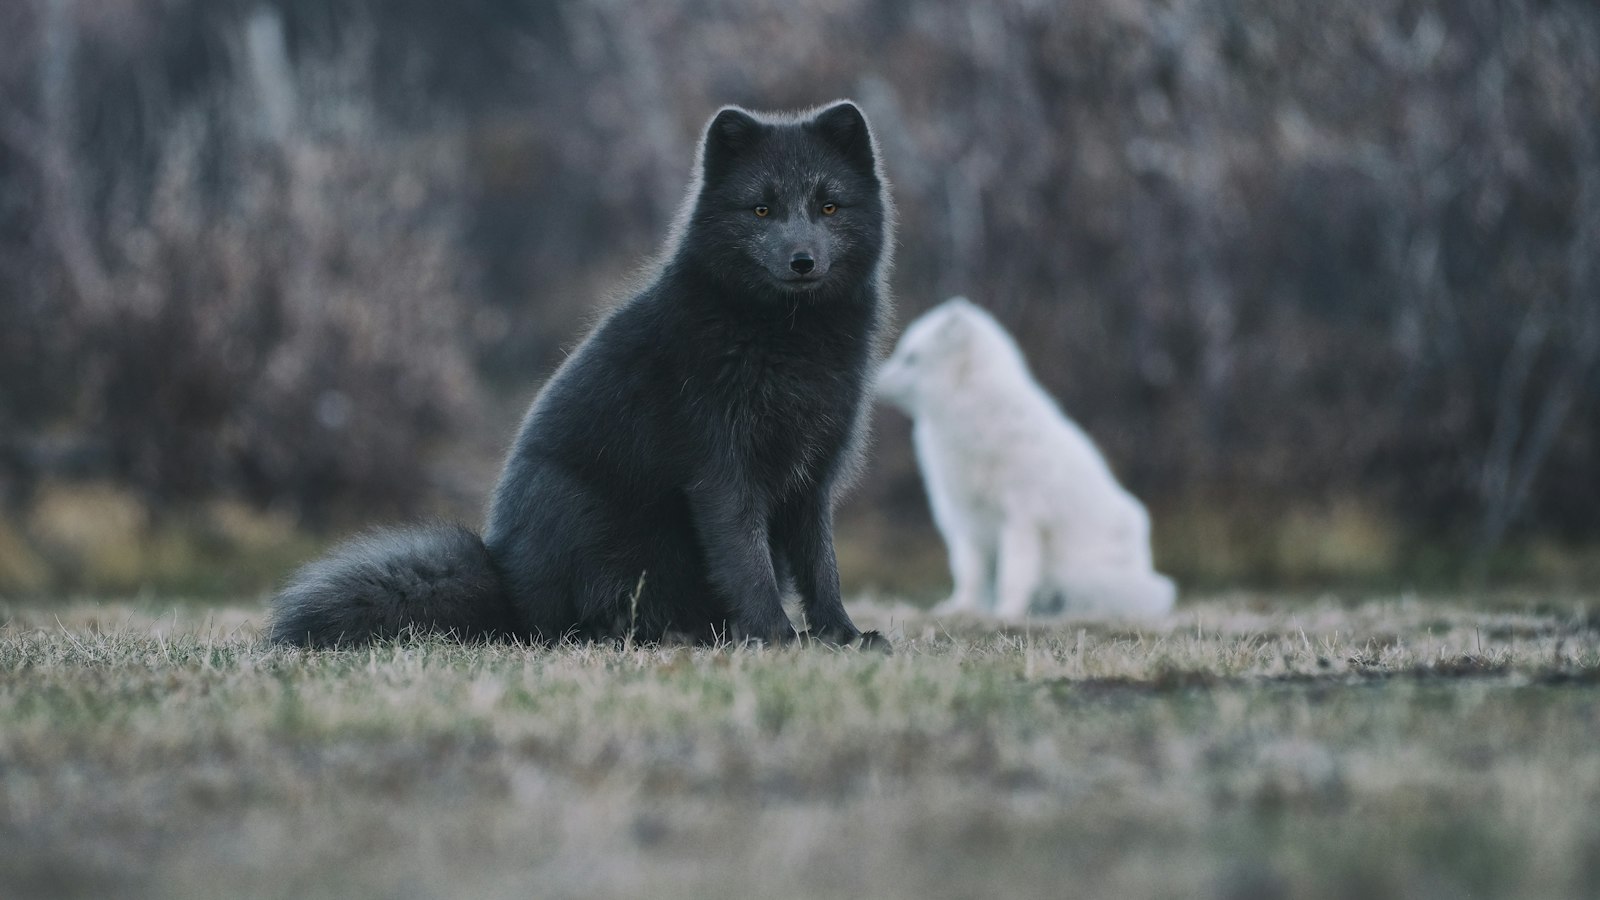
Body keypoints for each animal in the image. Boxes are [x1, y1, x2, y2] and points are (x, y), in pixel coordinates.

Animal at [270, 101, 893, 649]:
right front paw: (780, 640)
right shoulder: (724, 473)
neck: (787, 339)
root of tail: (506, 594)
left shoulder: (813, 478)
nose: (802, 262)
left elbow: (822, 566)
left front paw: (843, 636)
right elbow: (748, 563)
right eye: (761, 210)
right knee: (571, 624)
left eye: (829, 207)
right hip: (582, 513)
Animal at [875, 297, 1175, 620]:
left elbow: (1014, 573)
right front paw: (962, 609)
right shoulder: (966, 519)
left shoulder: (1022, 516)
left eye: (910, 358)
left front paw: (1007, 614)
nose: (873, 383)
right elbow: (969, 573)